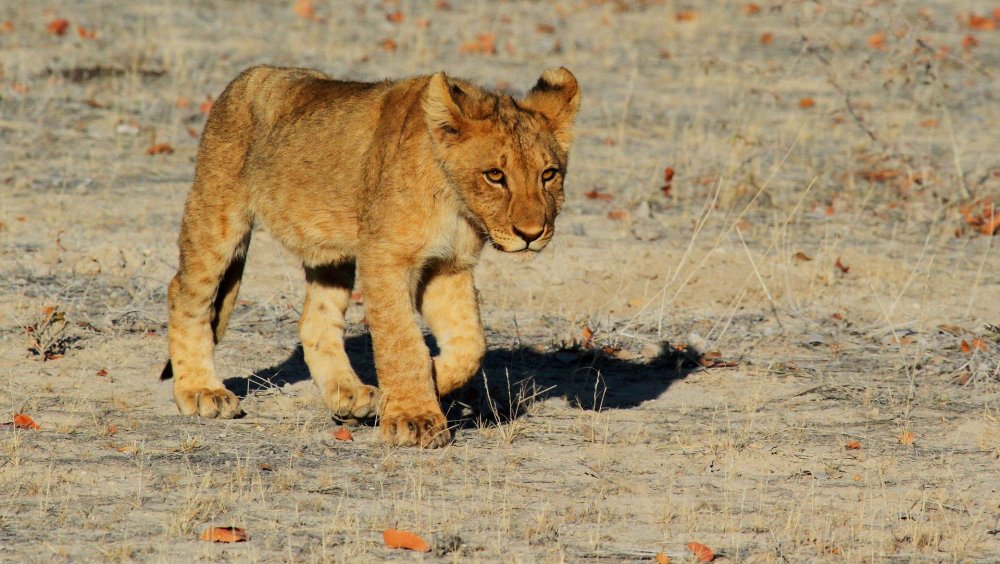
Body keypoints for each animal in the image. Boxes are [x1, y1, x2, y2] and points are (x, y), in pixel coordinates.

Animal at [160, 65, 580, 447]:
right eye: (495, 175)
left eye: (548, 174)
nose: (531, 234)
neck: (456, 204)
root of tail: (245, 77)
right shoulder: (385, 257)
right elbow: (401, 340)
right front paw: (414, 418)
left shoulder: (448, 266)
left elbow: (470, 344)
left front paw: (423, 384)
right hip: (218, 213)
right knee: (186, 291)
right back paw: (200, 391)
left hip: (331, 253)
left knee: (315, 322)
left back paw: (350, 395)